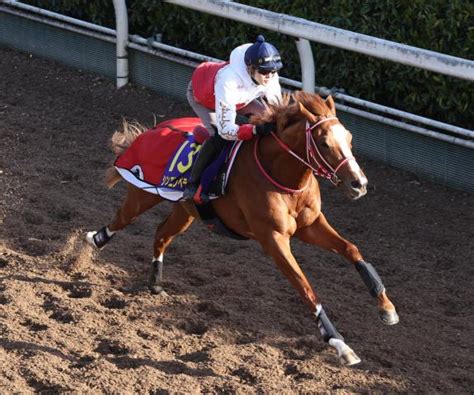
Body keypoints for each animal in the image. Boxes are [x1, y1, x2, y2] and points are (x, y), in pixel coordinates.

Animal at [87, 91, 398, 366]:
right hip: (143, 195)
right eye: (323, 143)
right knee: (120, 220)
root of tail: (152, 130)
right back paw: (91, 242)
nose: (359, 183)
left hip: (186, 211)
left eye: (349, 138)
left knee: (162, 233)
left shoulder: (310, 225)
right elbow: (305, 287)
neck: (282, 177)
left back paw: (155, 282)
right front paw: (340, 345)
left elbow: (352, 250)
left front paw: (387, 308)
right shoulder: (273, 238)